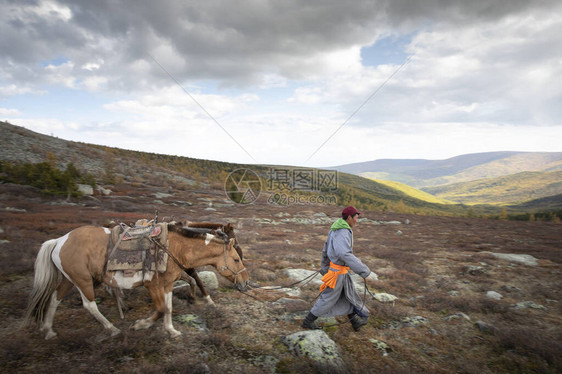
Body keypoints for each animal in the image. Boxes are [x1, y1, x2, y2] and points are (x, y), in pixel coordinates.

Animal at [24, 222, 247, 338]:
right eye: (236, 259)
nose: (245, 282)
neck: (175, 248)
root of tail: (59, 240)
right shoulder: (153, 285)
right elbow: (161, 309)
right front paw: (141, 325)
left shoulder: (167, 285)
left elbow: (169, 308)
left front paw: (171, 330)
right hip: (83, 280)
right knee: (89, 305)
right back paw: (112, 329)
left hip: (69, 279)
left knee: (54, 298)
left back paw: (49, 330)